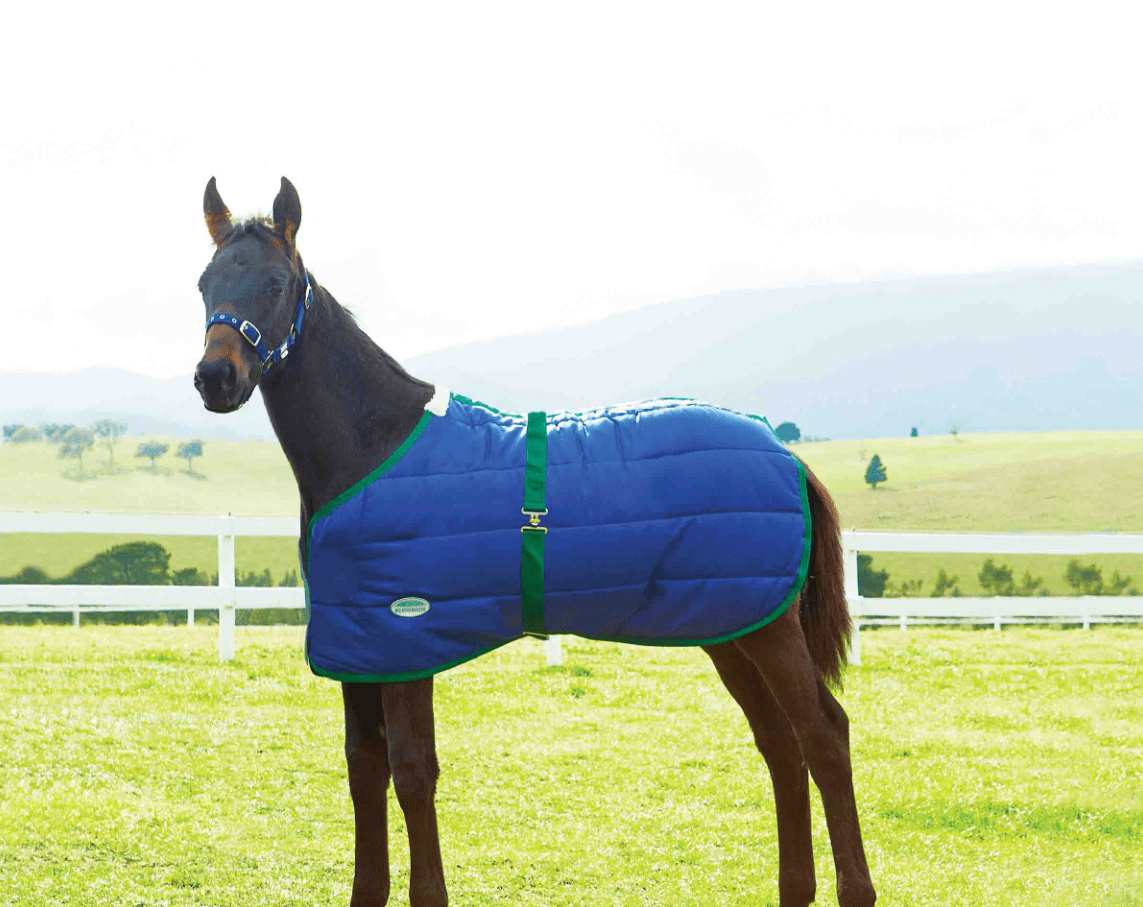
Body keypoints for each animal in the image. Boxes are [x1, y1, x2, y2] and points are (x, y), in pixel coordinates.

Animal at [192, 176, 876, 907]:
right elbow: (364, 771)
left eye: (275, 282)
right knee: (780, 744)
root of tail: (786, 453)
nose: (215, 379)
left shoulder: (405, 644)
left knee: (823, 734)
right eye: (205, 281)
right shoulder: (360, 651)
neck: (375, 445)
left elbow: (412, 772)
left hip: (769, 631)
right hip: (731, 627)